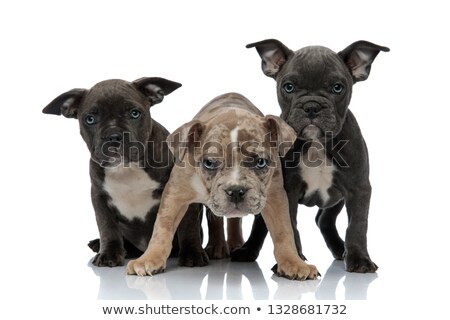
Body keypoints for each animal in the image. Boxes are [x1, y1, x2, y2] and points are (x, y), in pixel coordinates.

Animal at [42, 77, 207, 268]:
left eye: (135, 114)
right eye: (90, 119)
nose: (114, 136)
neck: (126, 168)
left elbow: (188, 225)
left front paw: (192, 253)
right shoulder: (99, 196)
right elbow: (107, 226)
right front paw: (109, 253)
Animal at [126, 92, 320, 280]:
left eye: (260, 162)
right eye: (209, 163)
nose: (235, 191)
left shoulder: (275, 197)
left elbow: (283, 232)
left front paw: (293, 263)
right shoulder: (175, 195)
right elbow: (162, 228)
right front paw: (149, 258)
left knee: (234, 219)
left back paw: (235, 244)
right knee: (215, 219)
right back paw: (217, 246)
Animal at [234, 38, 388, 272]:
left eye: (337, 87)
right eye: (288, 87)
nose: (312, 106)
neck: (317, 143)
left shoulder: (358, 188)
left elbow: (357, 226)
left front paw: (360, 259)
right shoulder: (287, 190)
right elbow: (289, 225)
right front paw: (295, 261)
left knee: (324, 219)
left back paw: (340, 249)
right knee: (262, 224)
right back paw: (247, 251)